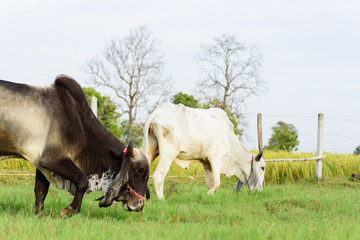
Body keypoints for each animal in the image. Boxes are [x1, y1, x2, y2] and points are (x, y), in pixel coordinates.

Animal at [0, 75, 150, 218]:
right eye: (139, 171)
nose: (140, 205)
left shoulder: (41, 163)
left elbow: (41, 191)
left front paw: (39, 216)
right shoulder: (52, 159)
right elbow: (82, 181)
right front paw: (69, 211)